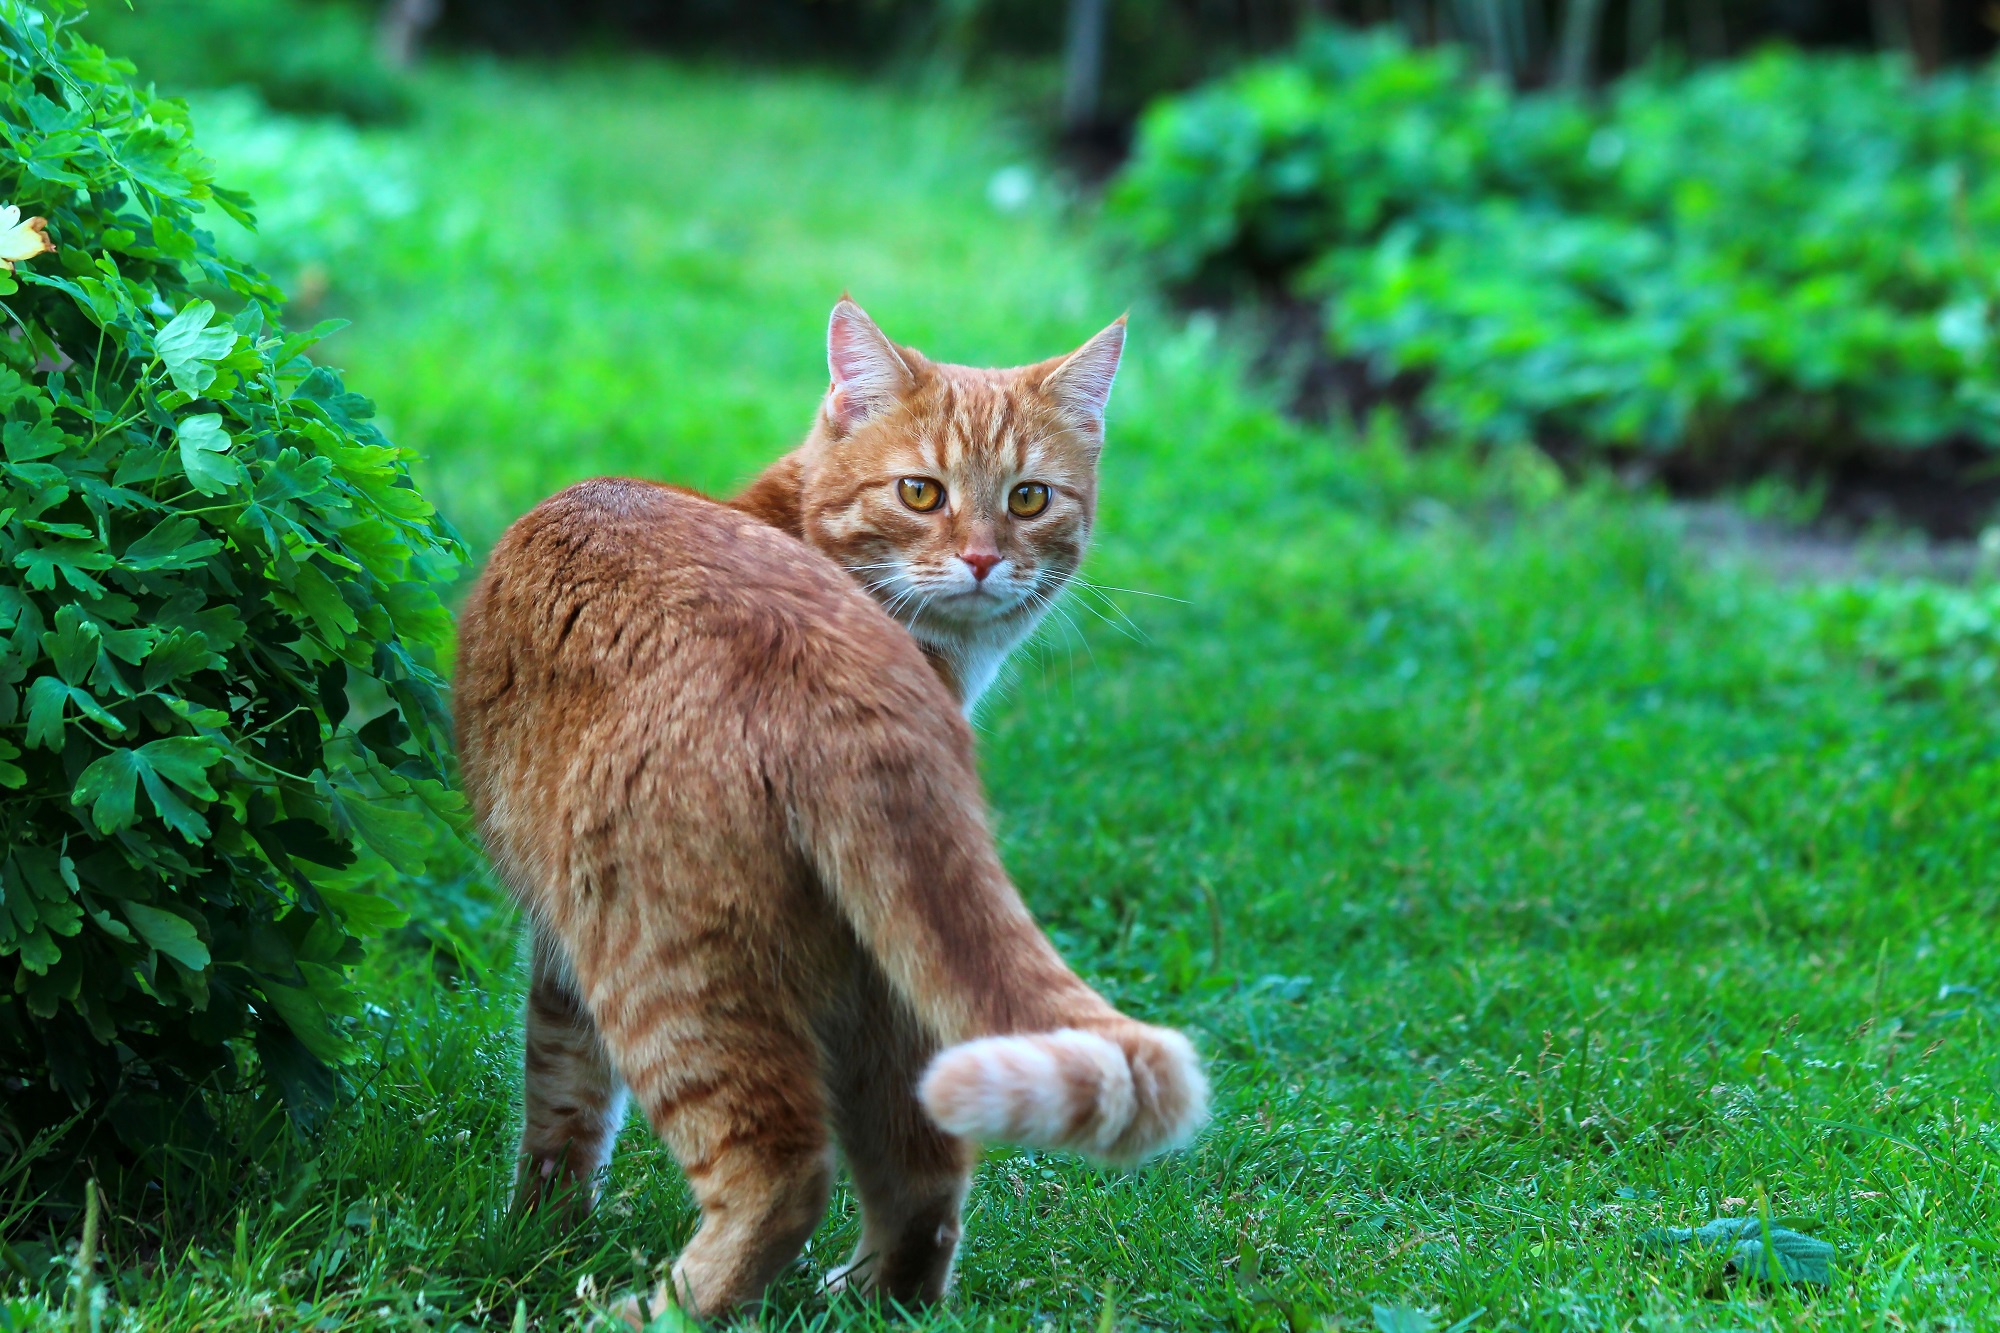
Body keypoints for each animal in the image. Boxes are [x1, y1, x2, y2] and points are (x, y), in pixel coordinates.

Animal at [454, 298, 1200, 1304]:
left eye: (1027, 498)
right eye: (920, 492)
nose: (980, 559)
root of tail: (825, 671)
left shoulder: (570, 941)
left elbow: (565, 1100)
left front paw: (537, 1242)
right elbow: (565, 1098)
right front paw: (537, 1236)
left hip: (662, 961)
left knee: (780, 1171)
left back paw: (659, 1308)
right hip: (883, 978)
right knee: (923, 1177)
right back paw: (866, 1300)